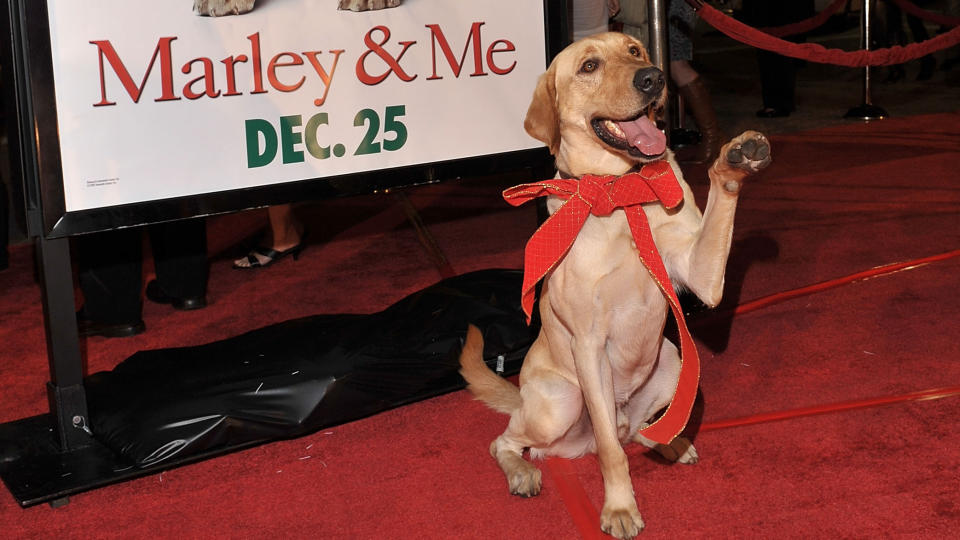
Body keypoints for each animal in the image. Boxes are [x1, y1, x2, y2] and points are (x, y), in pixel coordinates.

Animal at [460, 31, 772, 536]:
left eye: (635, 50)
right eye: (589, 66)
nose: (654, 78)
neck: (619, 192)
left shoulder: (702, 276)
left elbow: (718, 207)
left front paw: (734, 161)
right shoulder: (589, 344)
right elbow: (609, 452)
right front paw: (620, 508)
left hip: (673, 361)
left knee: (637, 430)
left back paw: (671, 442)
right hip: (559, 404)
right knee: (509, 441)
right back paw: (522, 472)